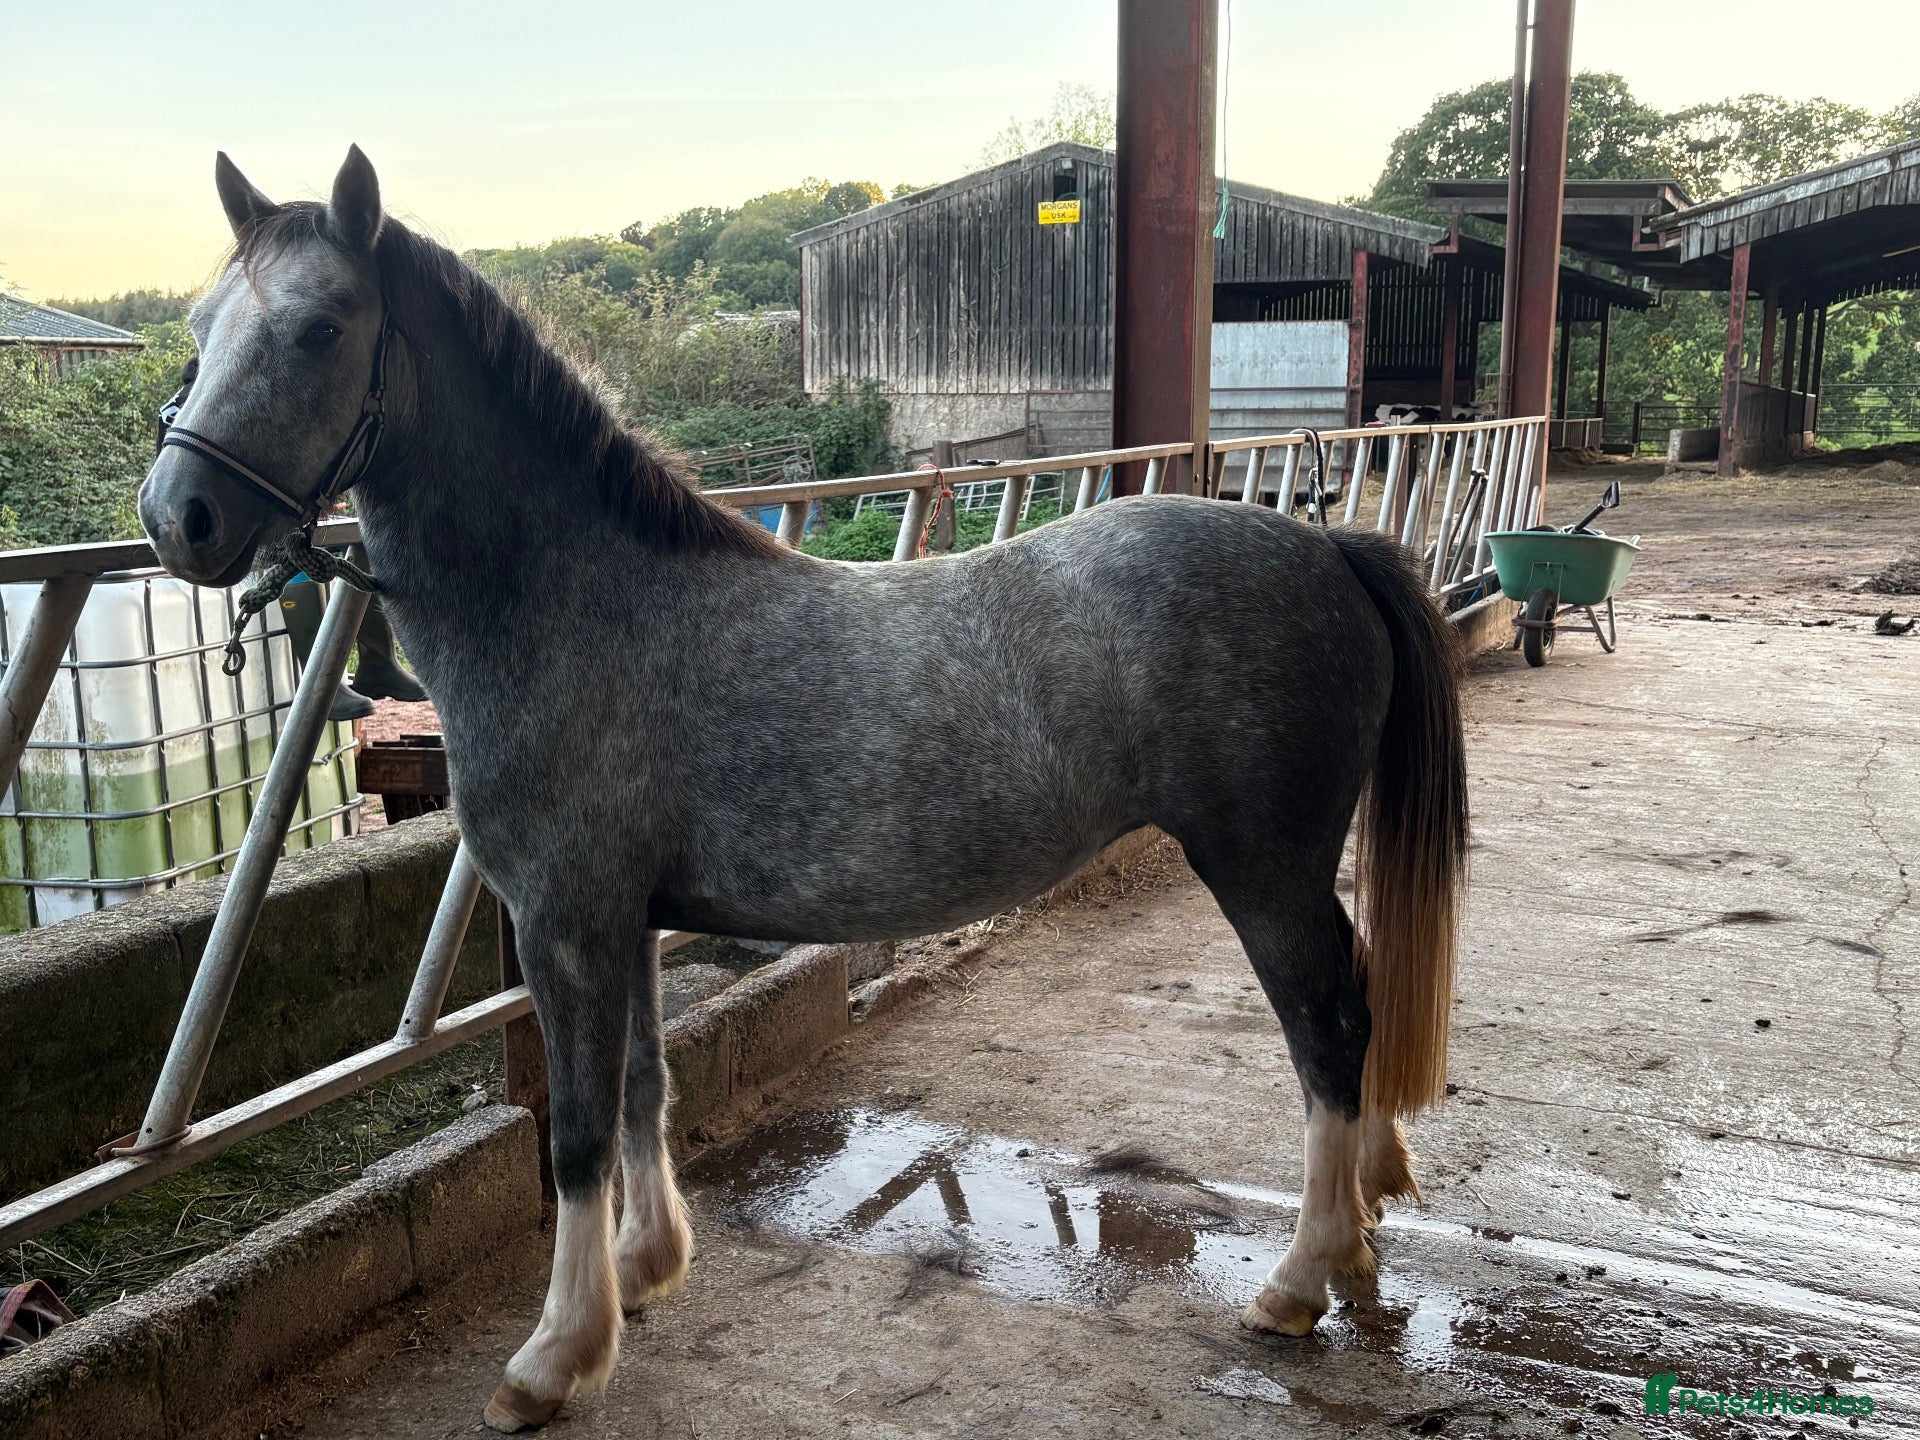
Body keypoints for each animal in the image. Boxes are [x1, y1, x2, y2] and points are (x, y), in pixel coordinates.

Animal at [139, 147, 1469, 1432]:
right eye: (201, 324)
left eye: (322, 328)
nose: (175, 518)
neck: (575, 603)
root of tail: (1327, 545)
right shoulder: (623, 923)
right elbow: (643, 1087)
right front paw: (645, 1270)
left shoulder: (565, 924)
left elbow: (572, 1135)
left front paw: (554, 1357)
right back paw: (1361, 1232)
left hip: (1262, 868)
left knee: (1328, 1030)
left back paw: (1300, 1280)